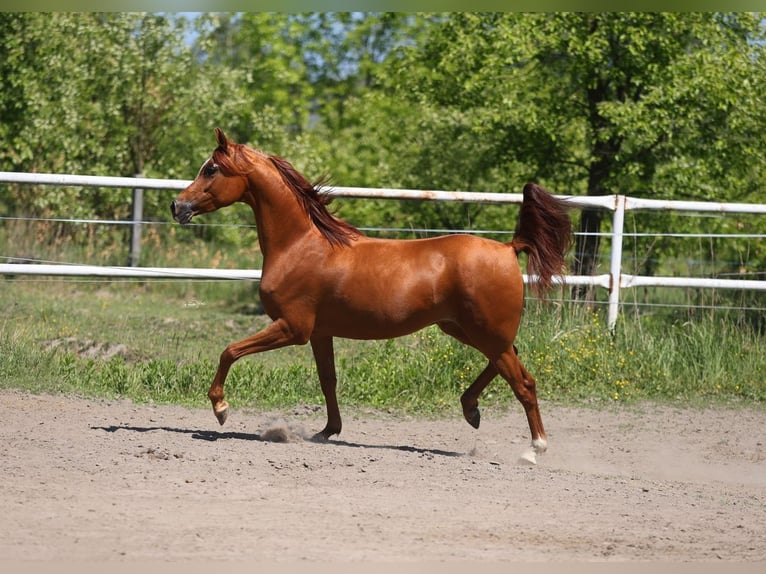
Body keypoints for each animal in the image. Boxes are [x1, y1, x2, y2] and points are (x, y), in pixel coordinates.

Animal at [171, 128, 571, 457]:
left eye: (211, 170)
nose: (177, 206)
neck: (300, 246)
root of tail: (507, 247)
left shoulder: (292, 328)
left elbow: (229, 351)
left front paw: (220, 410)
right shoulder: (319, 333)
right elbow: (328, 380)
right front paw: (327, 431)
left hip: (485, 331)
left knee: (523, 382)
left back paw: (534, 449)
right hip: (466, 329)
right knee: (507, 364)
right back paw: (470, 409)